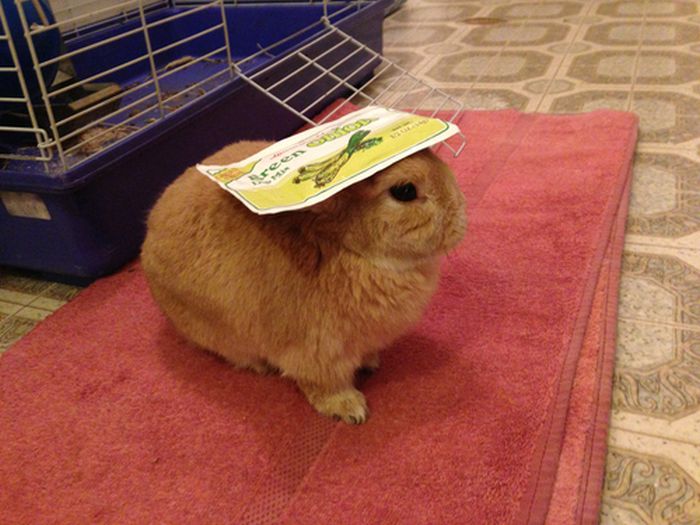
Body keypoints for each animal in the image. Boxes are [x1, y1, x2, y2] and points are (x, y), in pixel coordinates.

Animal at [141, 140, 466, 424]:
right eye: (405, 191)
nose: (460, 217)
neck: (344, 246)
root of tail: (148, 238)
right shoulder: (315, 354)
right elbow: (324, 386)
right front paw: (351, 411)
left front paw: (371, 363)